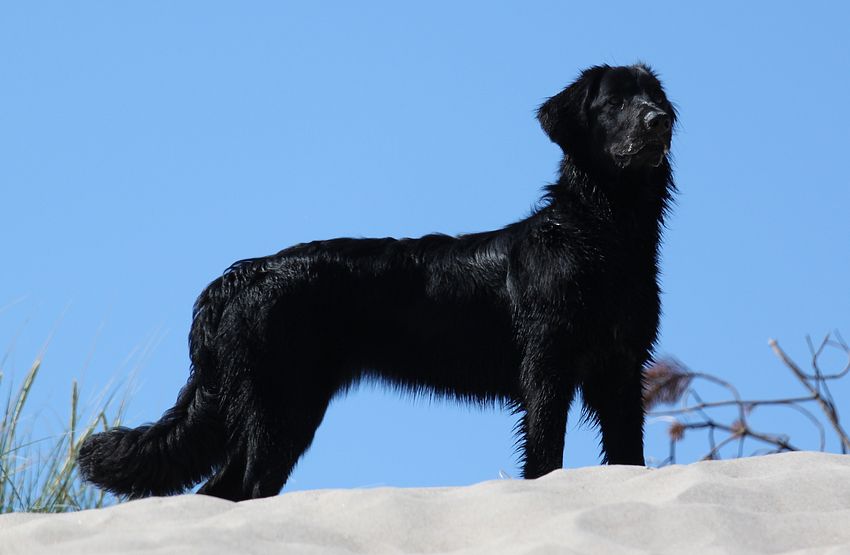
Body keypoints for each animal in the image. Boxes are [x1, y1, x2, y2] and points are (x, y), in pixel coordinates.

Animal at [79, 64, 676, 501]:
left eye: (653, 98)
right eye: (614, 104)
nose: (658, 121)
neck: (601, 235)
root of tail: (242, 275)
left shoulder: (621, 372)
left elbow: (628, 454)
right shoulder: (547, 370)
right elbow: (545, 457)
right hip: (280, 407)